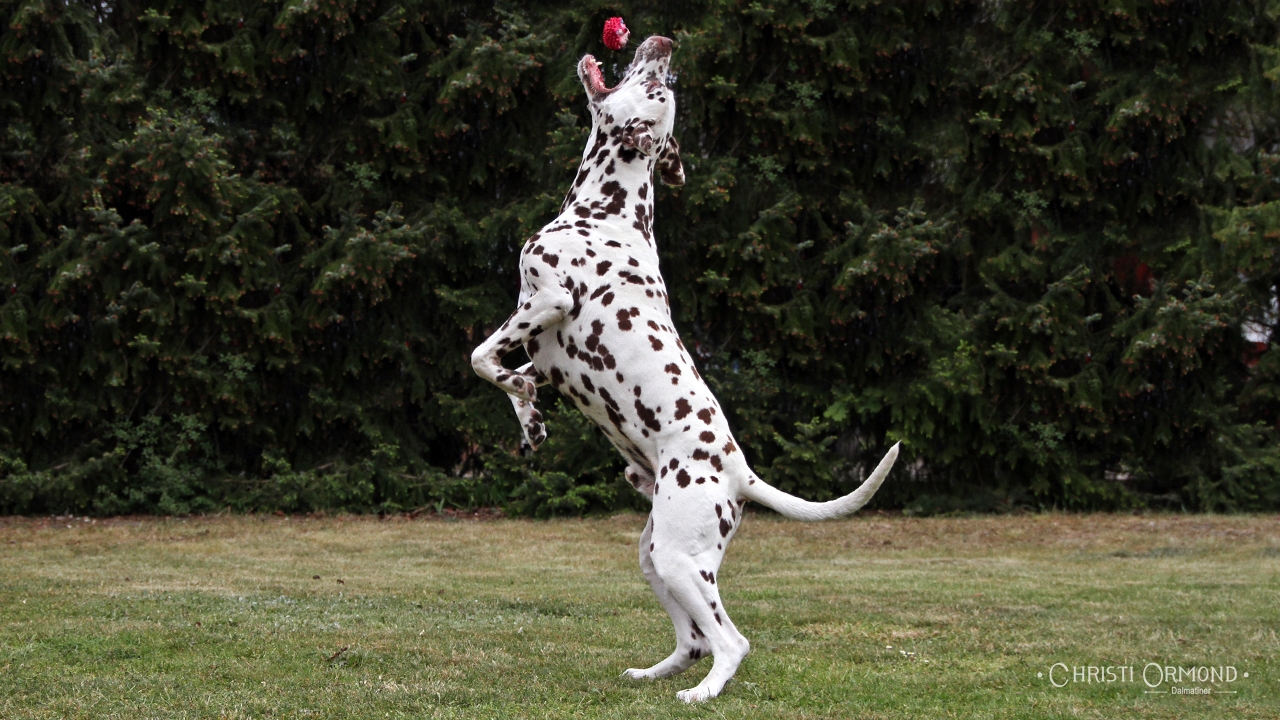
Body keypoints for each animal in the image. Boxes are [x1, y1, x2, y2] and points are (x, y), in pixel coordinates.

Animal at [471, 35, 900, 702]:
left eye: (655, 88)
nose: (663, 45)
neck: (607, 212)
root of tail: (741, 473)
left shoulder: (546, 302)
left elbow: (481, 357)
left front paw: (515, 391)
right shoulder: (546, 350)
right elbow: (509, 375)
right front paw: (530, 418)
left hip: (680, 559)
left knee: (730, 642)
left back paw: (701, 693)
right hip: (657, 559)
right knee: (693, 640)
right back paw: (655, 672)